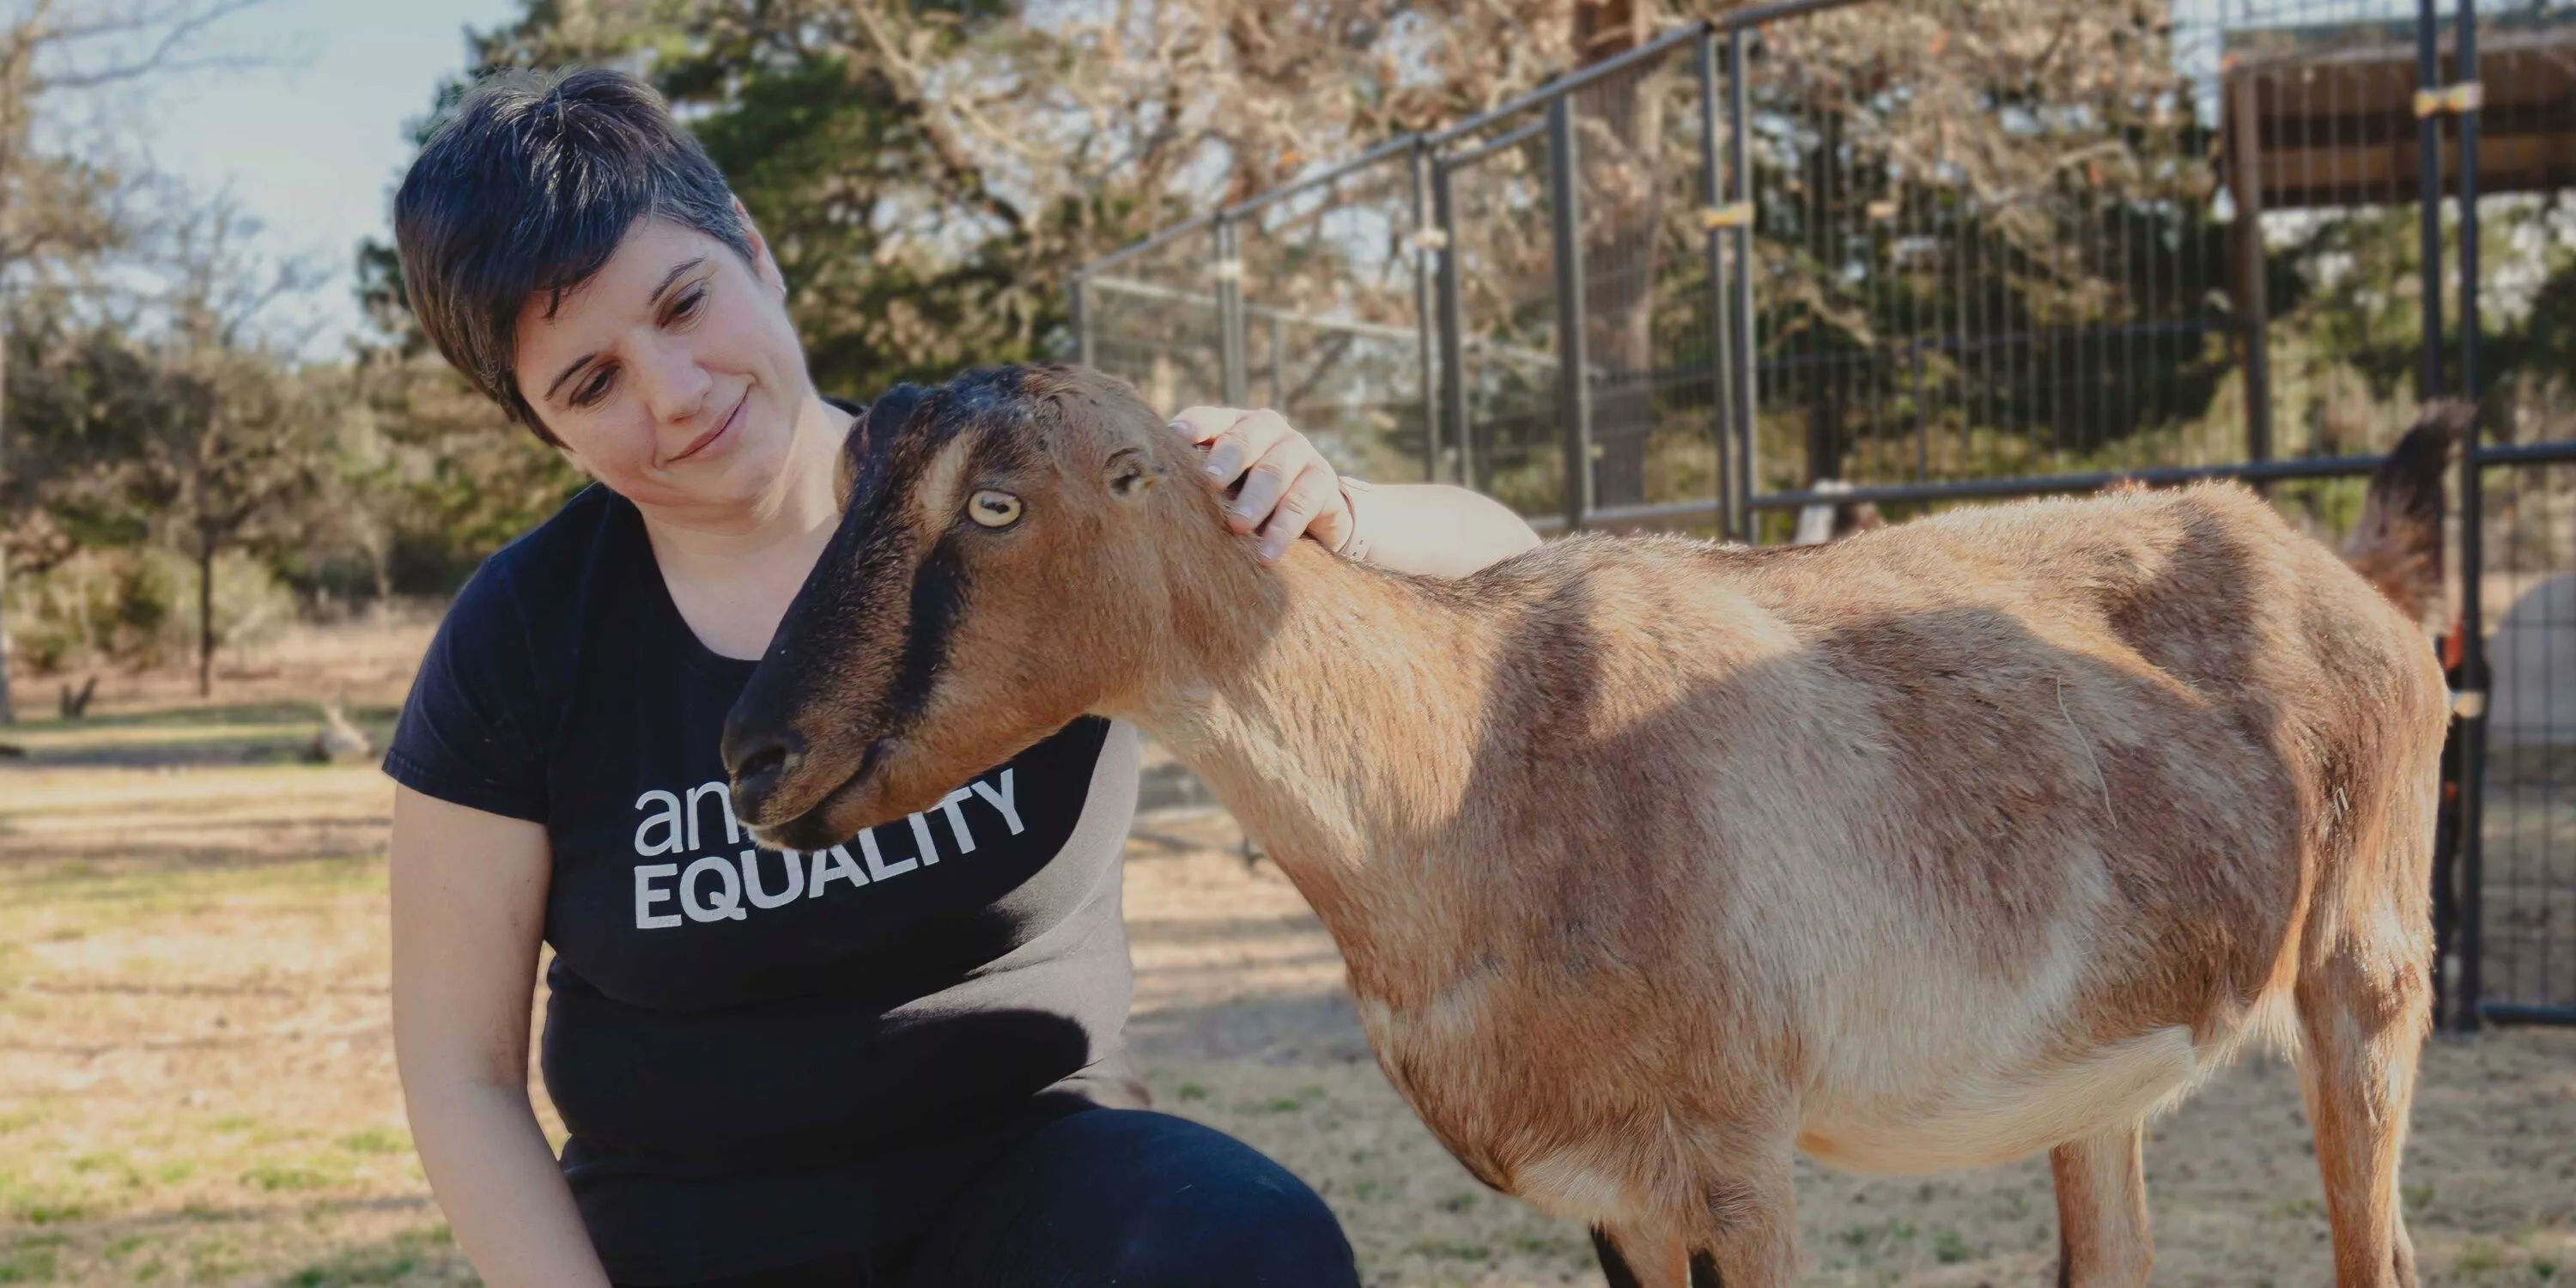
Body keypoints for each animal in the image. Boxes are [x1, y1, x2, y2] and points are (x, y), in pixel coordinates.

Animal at [726, 366, 2452, 1288]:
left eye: (997, 503)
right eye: (850, 480)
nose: (757, 755)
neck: (1475, 757)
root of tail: (2354, 582)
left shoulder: (1742, 1158)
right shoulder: (1606, 1188)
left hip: (2366, 976)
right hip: (2099, 1073)